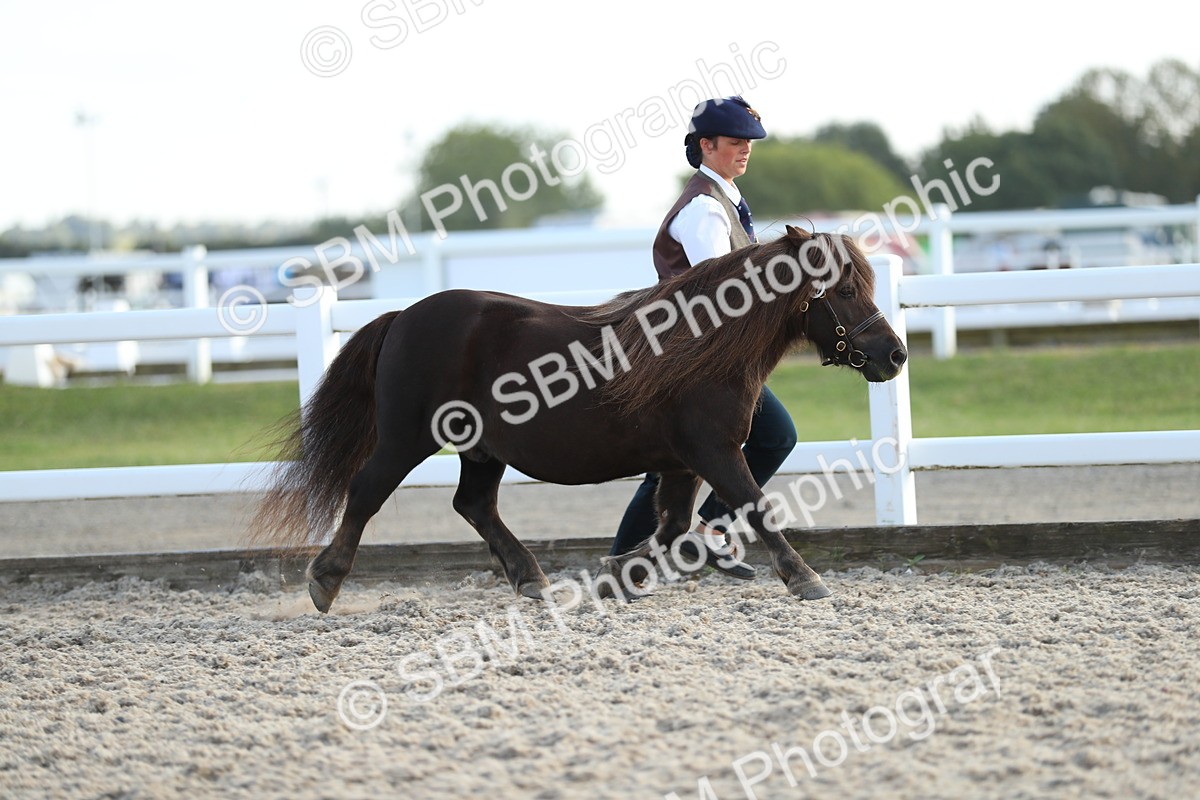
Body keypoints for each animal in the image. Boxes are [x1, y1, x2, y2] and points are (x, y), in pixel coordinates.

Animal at [251, 226, 908, 613]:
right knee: (366, 491)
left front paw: (621, 572)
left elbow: (673, 526)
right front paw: (805, 578)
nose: (895, 354)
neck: (702, 345)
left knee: (474, 505)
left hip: (482, 449)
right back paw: (326, 580)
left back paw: (532, 579)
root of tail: (404, 315)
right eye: (843, 289)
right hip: (405, 439)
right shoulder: (715, 452)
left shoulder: (682, 463)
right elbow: (756, 508)